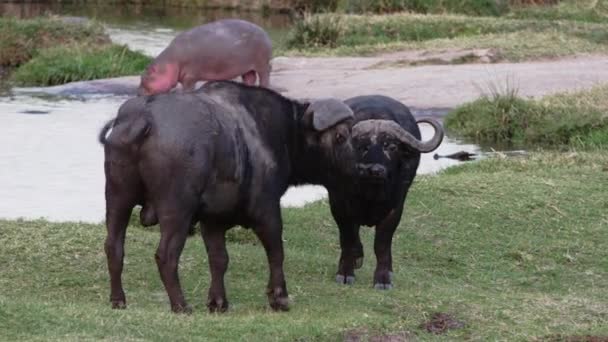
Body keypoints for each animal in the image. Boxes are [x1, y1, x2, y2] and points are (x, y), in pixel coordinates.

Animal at [97, 81, 354, 312]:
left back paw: (118, 300)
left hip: (117, 197)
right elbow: (276, 252)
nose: (356, 166)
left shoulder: (213, 220)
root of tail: (143, 118)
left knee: (113, 247)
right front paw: (279, 298)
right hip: (177, 208)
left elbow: (219, 258)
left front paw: (218, 302)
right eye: (341, 136)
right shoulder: (267, 210)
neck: (281, 132)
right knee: (166, 255)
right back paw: (180, 305)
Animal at [139, 19, 272, 95]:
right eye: (141, 76)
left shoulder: (190, 76)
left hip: (262, 64)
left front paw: (184, 93)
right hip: (247, 68)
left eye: (147, 77)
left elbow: (188, 87)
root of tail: (264, 31)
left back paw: (263, 87)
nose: (138, 93)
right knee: (250, 78)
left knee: (264, 76)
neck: (171, 61)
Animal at [328, 95, 442, 290]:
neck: (371, 194)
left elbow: (381, 243)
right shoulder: (339, 204)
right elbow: (348, 238)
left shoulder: (395, 208)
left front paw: (383, 279)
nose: (375, 170)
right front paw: (345, 272)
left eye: (391, 146)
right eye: (362, 146)